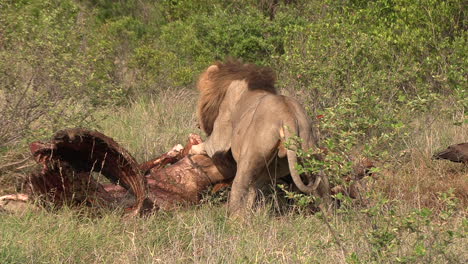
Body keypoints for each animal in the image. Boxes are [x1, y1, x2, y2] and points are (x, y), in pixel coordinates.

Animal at [192, 59, 330, 214]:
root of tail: (287, 114)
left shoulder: (221, 131)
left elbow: (207, 145)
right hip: (308, 146)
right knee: (323, 186)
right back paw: (331, 216)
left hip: (251, 155)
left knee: (240, 187)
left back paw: (234, 218)